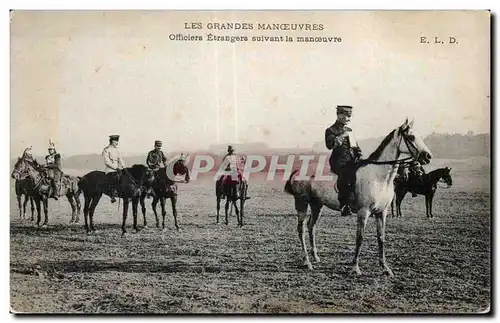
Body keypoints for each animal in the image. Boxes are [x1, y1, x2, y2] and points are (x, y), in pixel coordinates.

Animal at [284, 120, 432, 278]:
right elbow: (359, 238)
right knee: (301, 230)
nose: (428, 156)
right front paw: (355, 267)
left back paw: (315, 257)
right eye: (411, 137)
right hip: (302, 203)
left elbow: (381, 238)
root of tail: (298, 171)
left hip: (317, 205)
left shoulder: (382, 212)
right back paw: (307, 262)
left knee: (311, 226)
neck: (379, 177)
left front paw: (385, 268)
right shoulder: (363, 212)